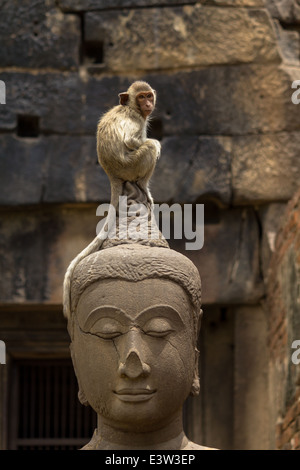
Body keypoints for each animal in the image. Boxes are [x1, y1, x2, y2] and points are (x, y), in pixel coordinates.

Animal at [62, 81, 162, 320]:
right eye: (142, 97)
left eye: (149, 96)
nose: (148, 103)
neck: (131, 108)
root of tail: (112, 173)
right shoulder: (136, 121)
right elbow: (132, 141)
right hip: (132, 166)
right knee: (150, 146)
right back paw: (144, 186)